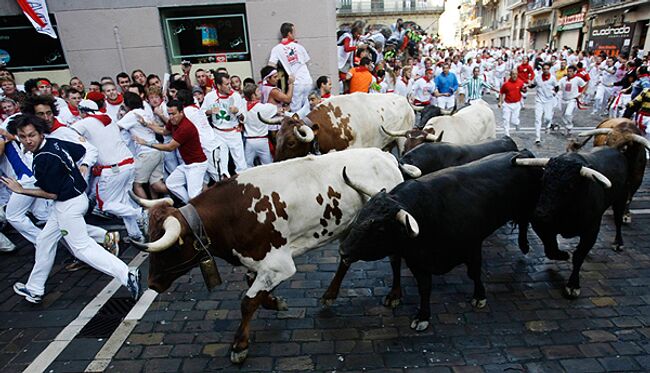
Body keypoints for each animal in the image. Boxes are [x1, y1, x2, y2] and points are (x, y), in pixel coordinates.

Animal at [127, 149, 402, 364]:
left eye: (171, 248)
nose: (152, 283)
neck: (232, 213)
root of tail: (385, 155)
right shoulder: (259, 263)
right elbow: (253, 288)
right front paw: (275, 302)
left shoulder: (279, 265)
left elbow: (247, 302)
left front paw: (240, 345)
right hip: (351, 229)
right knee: (346, 258)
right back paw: (330, 294)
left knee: (395, 257)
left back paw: (394, 295)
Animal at [330, 150, 540, 330]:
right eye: (361, 215)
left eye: (379, 228)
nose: (343, 251)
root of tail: (521, 154)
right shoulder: (416, 260)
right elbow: (424, 287)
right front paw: (423, 316)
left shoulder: (473, 247)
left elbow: (474, 273)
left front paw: (479, 296)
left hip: (527, 206)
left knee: (524, 222)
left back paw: (524, 245)